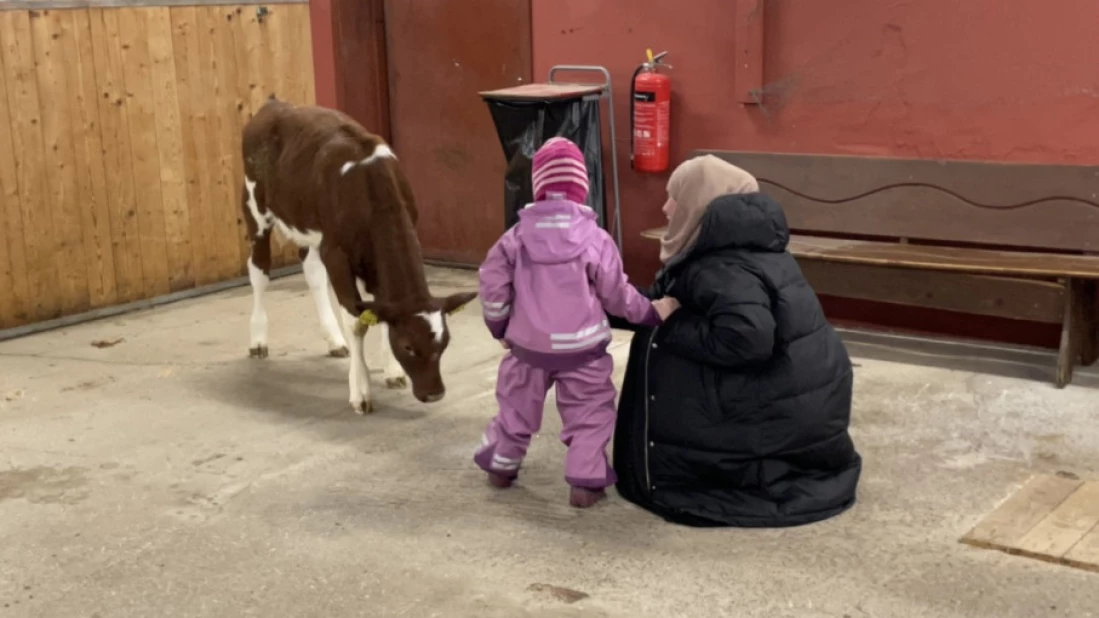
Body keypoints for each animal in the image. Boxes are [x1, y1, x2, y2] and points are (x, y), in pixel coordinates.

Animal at [240, 98, 477, 414]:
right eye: (408, 346)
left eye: (444, 343)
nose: (434, 394)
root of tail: (274, 105)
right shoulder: (337, 254)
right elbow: (357, 321)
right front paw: (361, 391)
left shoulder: (368, 259)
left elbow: (381, 309)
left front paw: (393, 373)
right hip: (255, 208)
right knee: (259, 271)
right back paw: (258, 340)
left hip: (309, 229)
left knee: (312, 272)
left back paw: (334, 340)